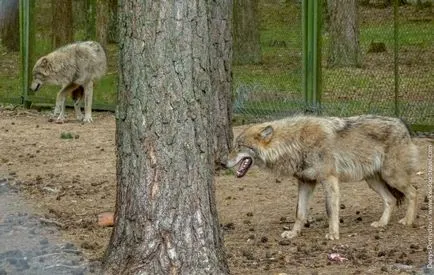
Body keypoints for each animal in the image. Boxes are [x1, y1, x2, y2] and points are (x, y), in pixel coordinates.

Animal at [224, 115, 418, 240]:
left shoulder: (329, 179)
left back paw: (408, 221)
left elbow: (330, 210)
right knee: (391, 199)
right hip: (373, 181)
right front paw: (293, 233)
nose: (222, 162)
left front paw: (333, 234)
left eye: (239, 146)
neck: (294, 143)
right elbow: (300, 212)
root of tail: (403, 124)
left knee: (413, 192)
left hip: (392, 176)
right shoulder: (305, 182)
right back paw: (381, 223)